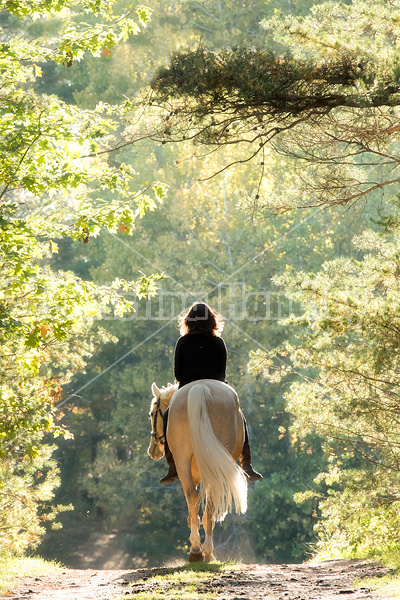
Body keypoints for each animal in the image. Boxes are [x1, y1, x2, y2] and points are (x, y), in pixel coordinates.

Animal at [148, 380, 247, 564]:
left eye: (151, 414)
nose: (152, 451)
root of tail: (199, 387)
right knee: (206, 501)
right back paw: (203, 551)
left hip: (184, 462)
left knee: (196, 498)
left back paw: (199, 551)